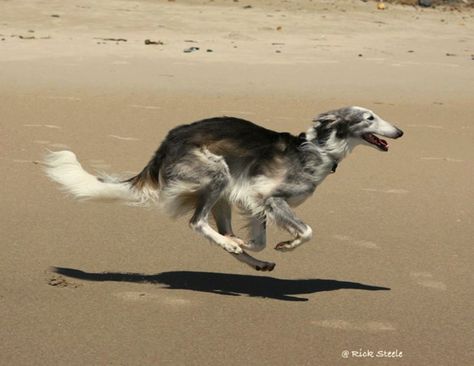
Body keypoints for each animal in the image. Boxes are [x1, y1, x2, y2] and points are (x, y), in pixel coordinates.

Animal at [44, 106, 402, 272]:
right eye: (369, 117)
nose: (400, 131)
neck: (319, 149)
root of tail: (166, 143)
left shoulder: (253, 200)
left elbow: (259, 240)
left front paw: (249, 245)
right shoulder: (267, 196)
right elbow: (307, 231)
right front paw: (286, 245)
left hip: (223, 193)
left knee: (220, 231)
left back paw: (247, 256)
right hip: (217, 175)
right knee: (196, 222)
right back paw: (230, 244)